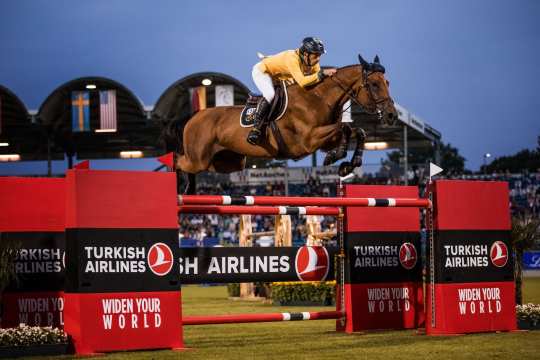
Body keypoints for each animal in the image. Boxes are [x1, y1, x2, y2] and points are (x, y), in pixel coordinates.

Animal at [163, 54, 396, 194]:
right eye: (374, 84)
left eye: (387, 82)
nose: (392, 115)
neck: (318, 98)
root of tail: (192, 117)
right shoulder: (308, 140)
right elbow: (345, 127)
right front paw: (337, 157)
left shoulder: (322, 140)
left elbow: (358, 131)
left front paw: (348, 162)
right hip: (198, 158)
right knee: (178, 161)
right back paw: (179, 188)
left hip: (226, 162)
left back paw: (189, 191)